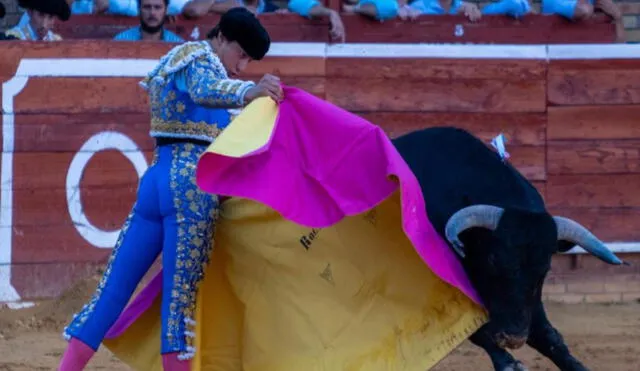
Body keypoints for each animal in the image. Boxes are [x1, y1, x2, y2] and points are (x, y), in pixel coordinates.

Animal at [390, 128, 624, 371]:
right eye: (493, 260)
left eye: (545, 269)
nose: (513, 337)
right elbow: (475, 329)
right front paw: (509, 363)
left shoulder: (531, 299)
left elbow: (548, 335)